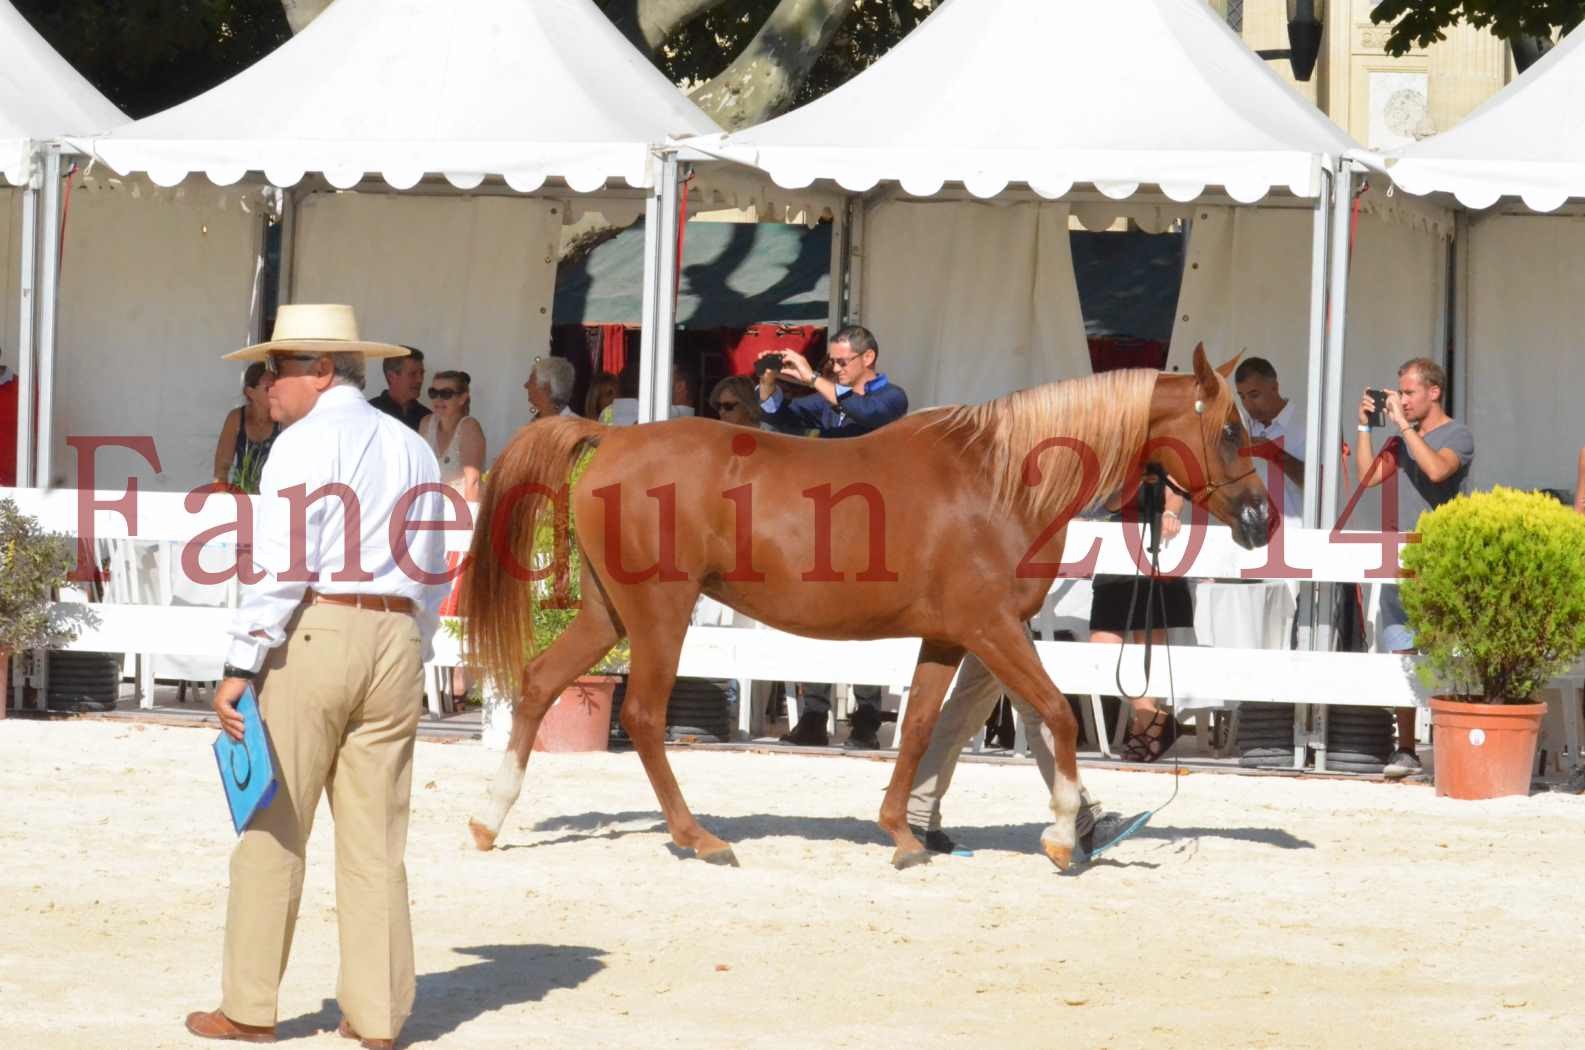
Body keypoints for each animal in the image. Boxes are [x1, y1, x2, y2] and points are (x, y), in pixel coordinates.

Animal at [456, 345, 1261, 869]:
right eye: (1229, 428)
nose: (1257, 518)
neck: (999, 479)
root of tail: (610, 439)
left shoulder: (950, 637)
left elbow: (921, 729)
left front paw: (903, 835)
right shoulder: (991, 628)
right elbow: (1057, 713)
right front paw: (1065, 836)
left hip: (608, 614)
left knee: (538, 684)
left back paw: (489, 820)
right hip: (659, 615)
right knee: (645, 716)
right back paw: (699, 838)